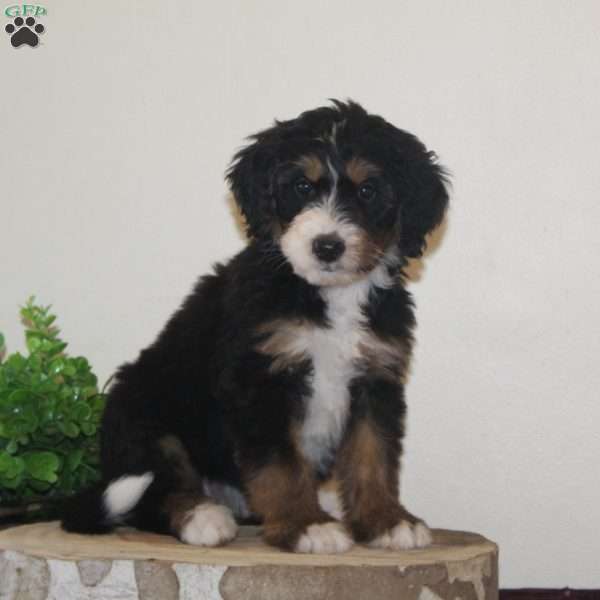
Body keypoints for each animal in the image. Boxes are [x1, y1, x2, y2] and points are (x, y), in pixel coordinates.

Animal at [64, 98, 450, 552]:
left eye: (368, 191)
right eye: (302, 187)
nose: (327, 246)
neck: (328, 296)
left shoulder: (376, 379)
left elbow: (373, 458)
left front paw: (386, 521)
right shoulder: (260, 379)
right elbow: (281, 465)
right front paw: (306, 525)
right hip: (146, 418)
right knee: (151, 493)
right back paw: (202, 516)